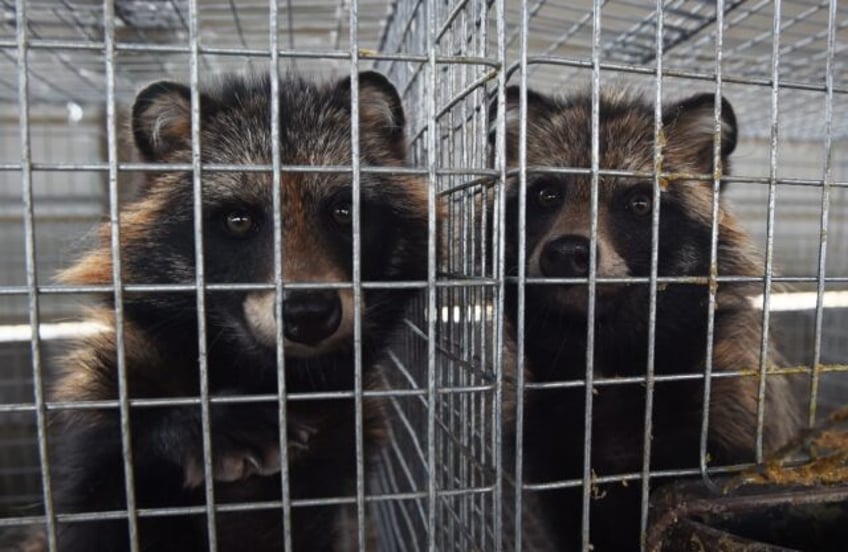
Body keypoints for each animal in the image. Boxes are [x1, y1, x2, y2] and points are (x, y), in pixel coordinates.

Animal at [40, 71, 430, 548]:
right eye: (238, 220)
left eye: (343, 212)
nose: (309, 313)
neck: (266, 374)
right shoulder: (107, 387)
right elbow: (101, 502)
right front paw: (185, 425)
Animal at [500, 88, 804, 548]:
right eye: (546, 194)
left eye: (640, 204)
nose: (567, 254)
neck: (604, 344)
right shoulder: (546, 435)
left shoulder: (731, 388)